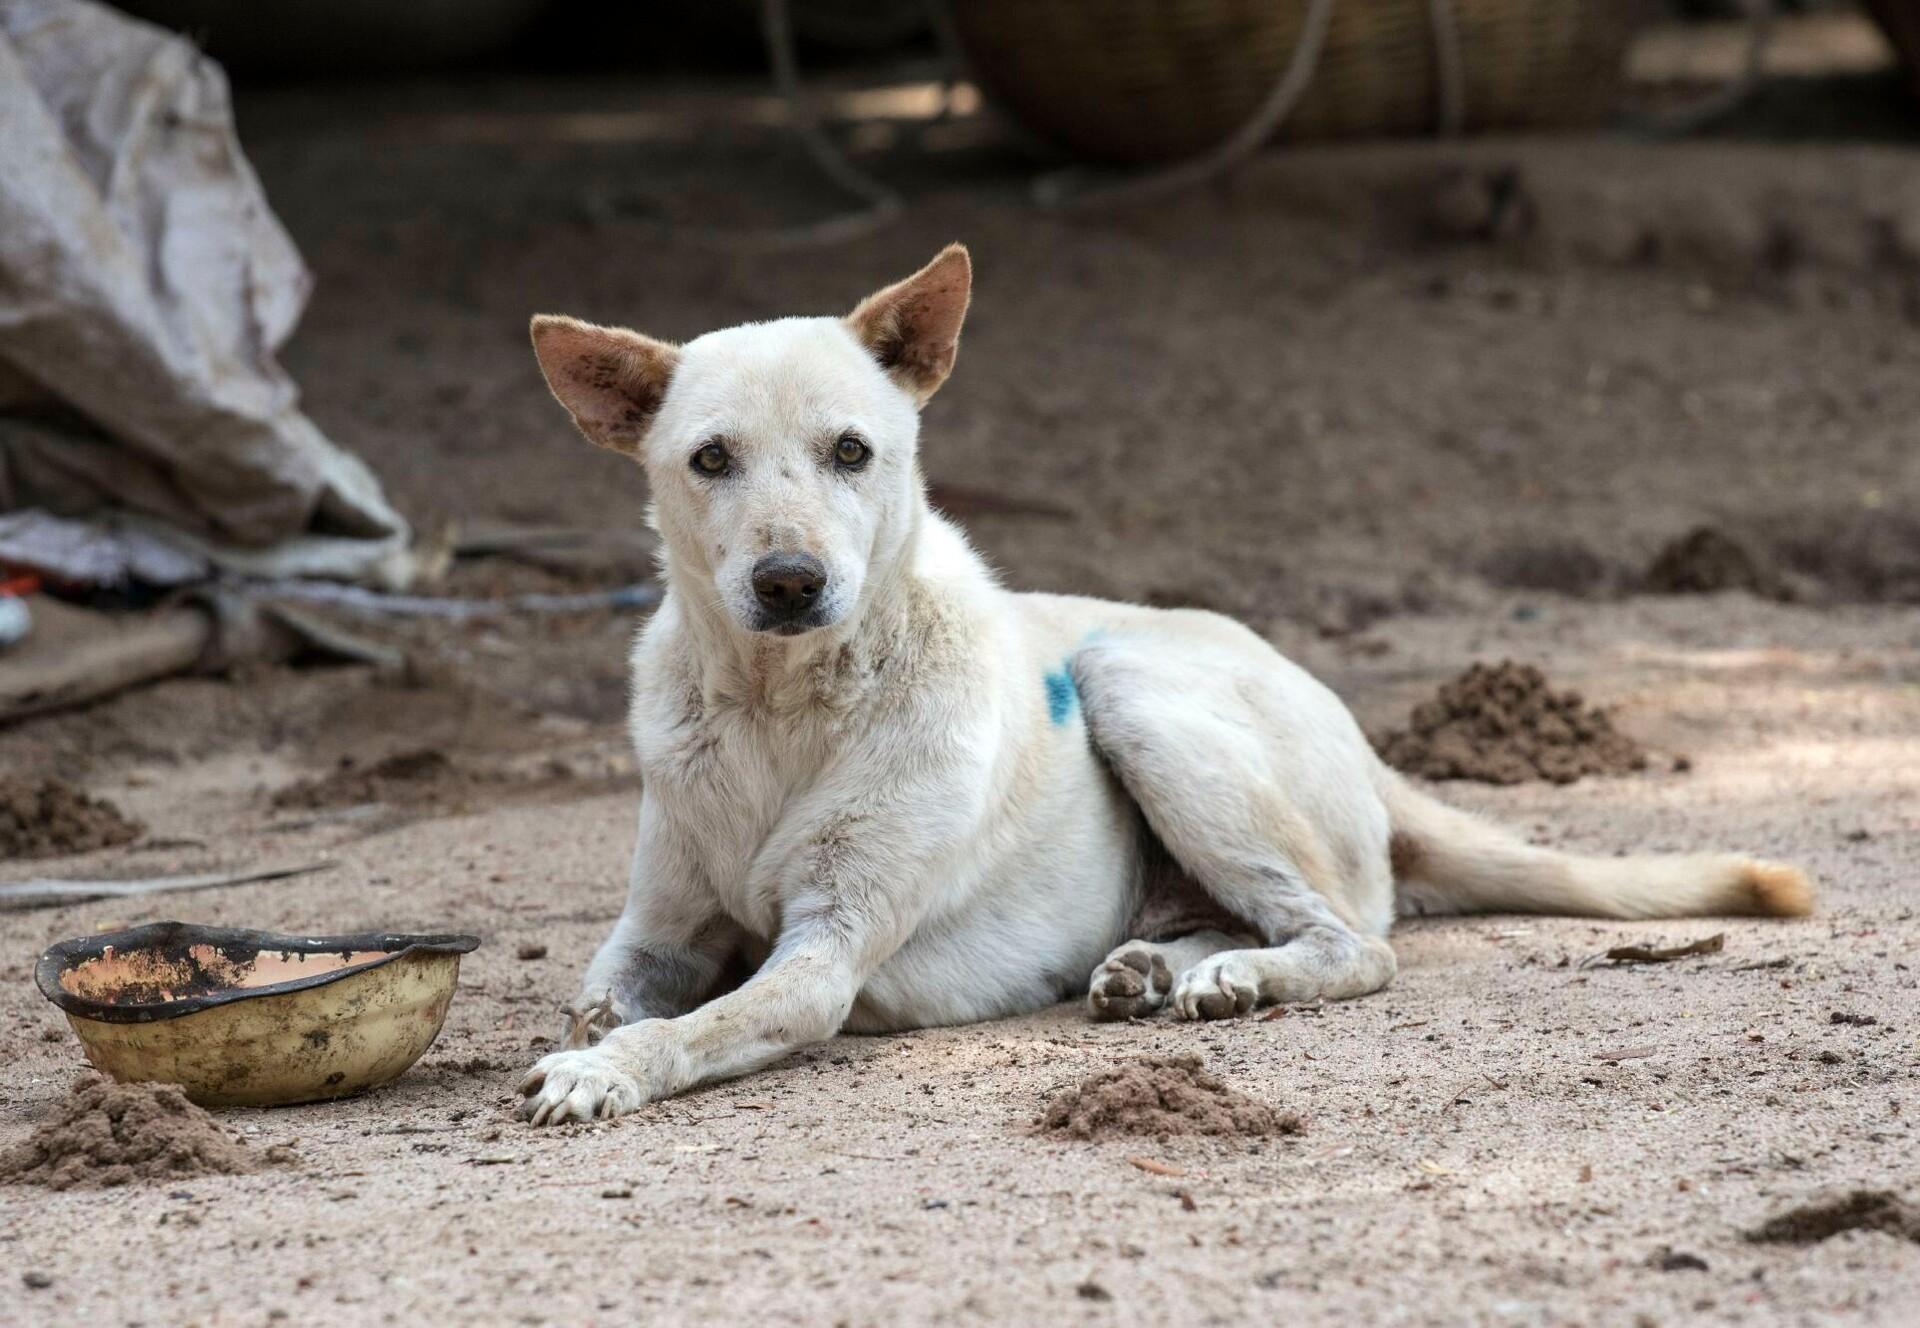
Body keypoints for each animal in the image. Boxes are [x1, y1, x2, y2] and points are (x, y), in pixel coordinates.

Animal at [514, 245, 1812, 1120]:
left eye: (850, 451)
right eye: (710, 459)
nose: (790, 582)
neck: (780, 707)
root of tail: (1364, 742)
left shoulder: (825, 955)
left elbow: (695, 1025)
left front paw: (601, 1069)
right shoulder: (657, 930)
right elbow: (614, 989)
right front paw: (593, 1031)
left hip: (1132, 683)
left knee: (1355, 941)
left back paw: (1229, 974)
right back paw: (1163, 966)